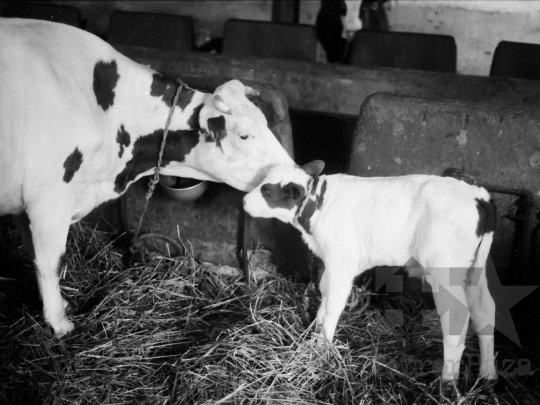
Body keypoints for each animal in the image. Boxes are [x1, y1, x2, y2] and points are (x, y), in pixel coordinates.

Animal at [0, 17, 296, 336]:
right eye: (244, 135)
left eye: (265, 121)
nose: (293, 174)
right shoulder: (48, 200)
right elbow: (50, 261)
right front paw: (59, 323)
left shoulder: (24, 205)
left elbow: (34, 253)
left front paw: (57, 304)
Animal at [244, 159, 498, 384]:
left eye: (267, 190)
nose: (244, 200)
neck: (319, 206)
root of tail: (477, 194)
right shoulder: (330, 263)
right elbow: (324, 298)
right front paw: (315, 336)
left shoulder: (341, 262)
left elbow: (333, 305)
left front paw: (322, 349)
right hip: (473, 269)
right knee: (484, 310)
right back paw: (488, 374)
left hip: (445, 269)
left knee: (457, 317)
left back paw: (448, 381)